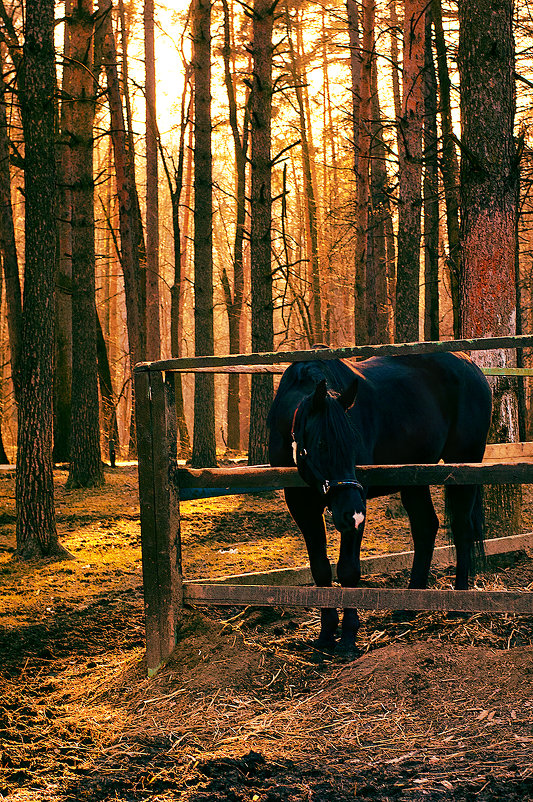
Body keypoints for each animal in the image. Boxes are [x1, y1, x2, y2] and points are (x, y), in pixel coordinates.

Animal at [268, 354, 492, 652]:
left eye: (354, 443)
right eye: (322, 444)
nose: (352, 515)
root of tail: (471, 365)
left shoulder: (356, 505)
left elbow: (348, 570)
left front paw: (347, 637)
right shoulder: (302, 506)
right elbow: (320, 569)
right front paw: (326, 634)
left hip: (464, 465)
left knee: (461, 529)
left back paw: (459, 604)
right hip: (414, 479)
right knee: (426, 527)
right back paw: (409, 605)